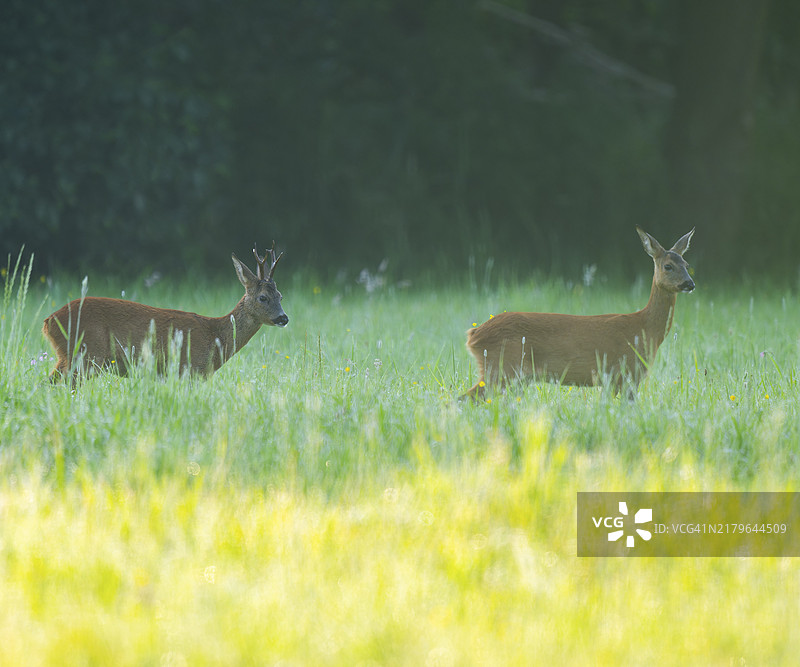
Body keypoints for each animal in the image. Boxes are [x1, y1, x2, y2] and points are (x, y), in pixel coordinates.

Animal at [43, 243, 288, 383]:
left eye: (281, 296)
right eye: (263, 297)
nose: (283, 318)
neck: (215, 336)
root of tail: (48, 322)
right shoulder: (187, 369)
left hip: (71, 356)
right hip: (84, 355)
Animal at [462, 227, 695, 401]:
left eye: (686, 264)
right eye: (668, 266)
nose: (690, 284)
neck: (645, 328)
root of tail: (473, 335)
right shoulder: (625, 372)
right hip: (501, 368)